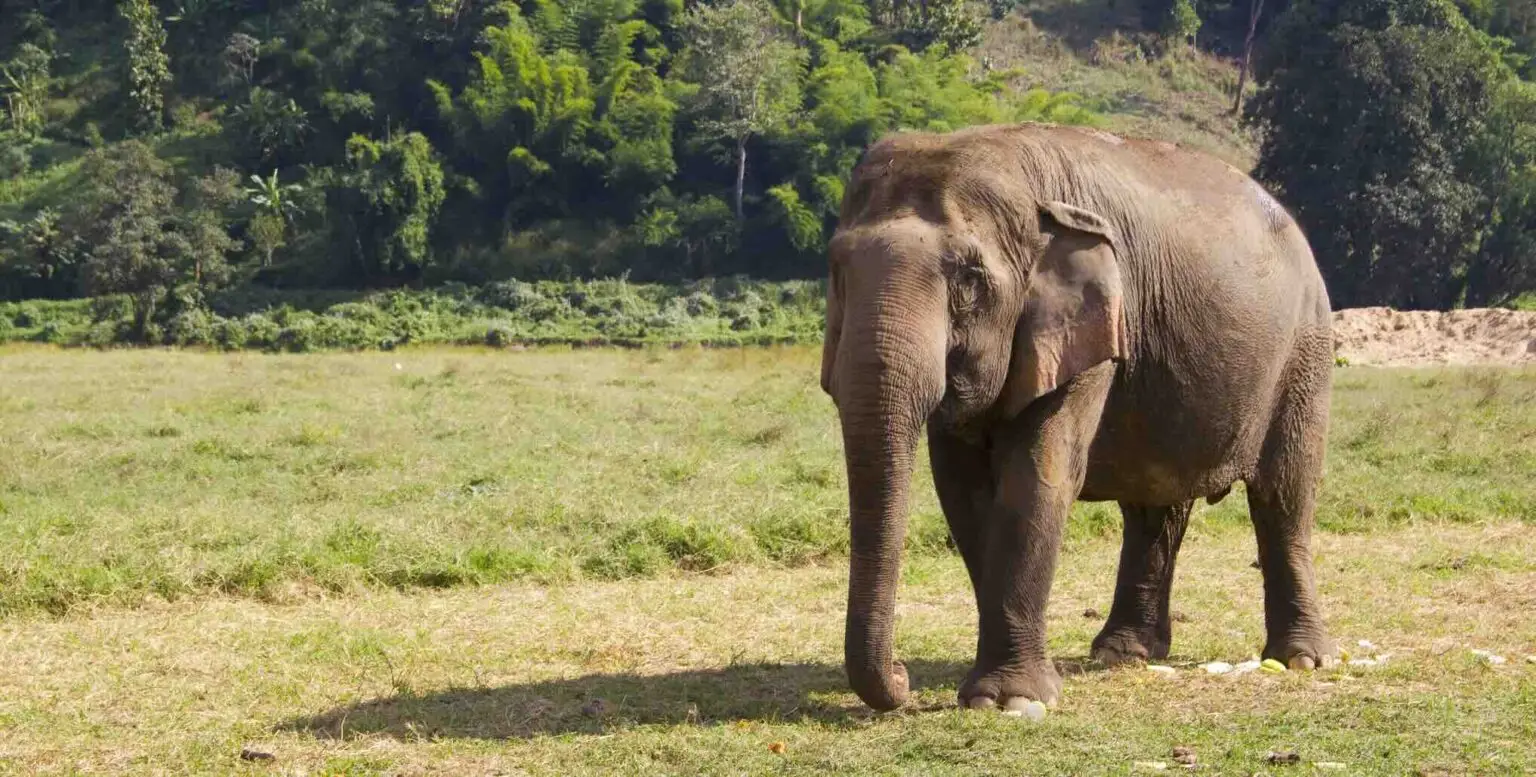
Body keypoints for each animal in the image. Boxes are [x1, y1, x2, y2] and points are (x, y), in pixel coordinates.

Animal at [818, 122, 1336, 713]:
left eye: (969, 281)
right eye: (836, 272)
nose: (903, 676)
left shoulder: (1091, 333)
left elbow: (1036, 476)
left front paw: (1009, 701)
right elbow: (962, 491)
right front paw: (994, 694)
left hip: (1305, 349)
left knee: (1283, 493)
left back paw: (1300, 660)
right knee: (1155, 507)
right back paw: (1123, 653)